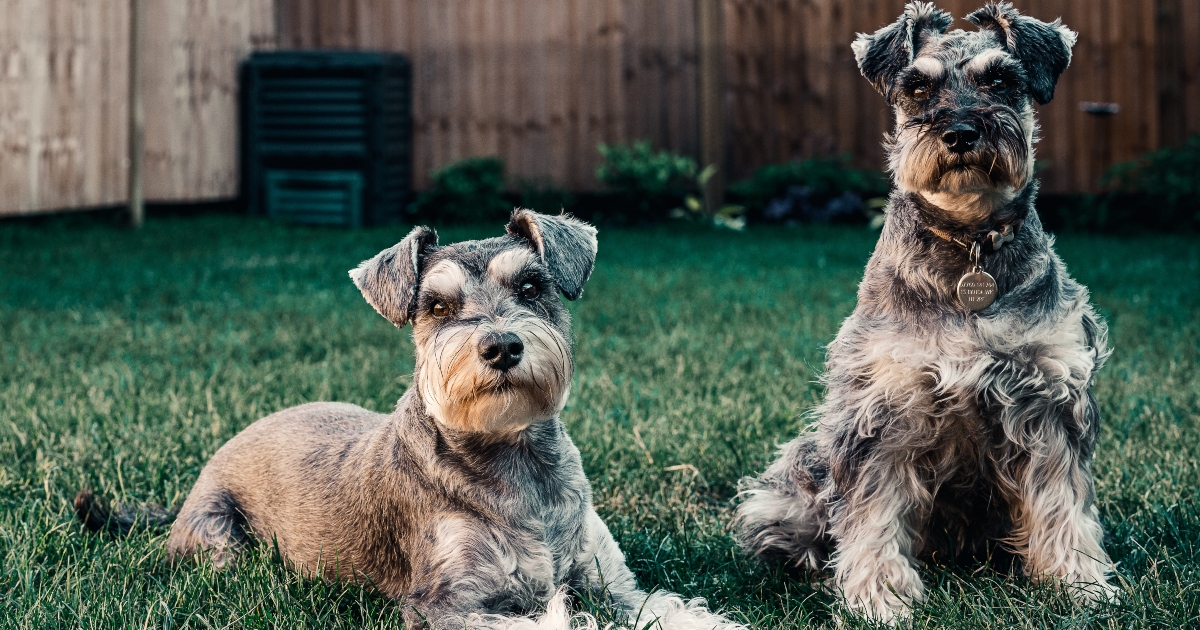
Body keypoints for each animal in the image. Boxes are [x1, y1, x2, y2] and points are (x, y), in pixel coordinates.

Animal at [75, 211, 739, 628]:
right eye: (437, 306)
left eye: (531, 286)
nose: (501, 347)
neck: (517, 463)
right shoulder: (445, 603)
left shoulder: (613, 584)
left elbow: (674, 611)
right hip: (221, 545)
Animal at [734, 1, 1118, 624]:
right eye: (917, 87)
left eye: (1000, 80)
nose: (960, 133)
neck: (969, 243)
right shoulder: (884, 408)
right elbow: (872, 514)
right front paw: (878, 599)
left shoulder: (1049, 399)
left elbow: (1064, 503)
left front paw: (1080, 585)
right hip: (794, 482)